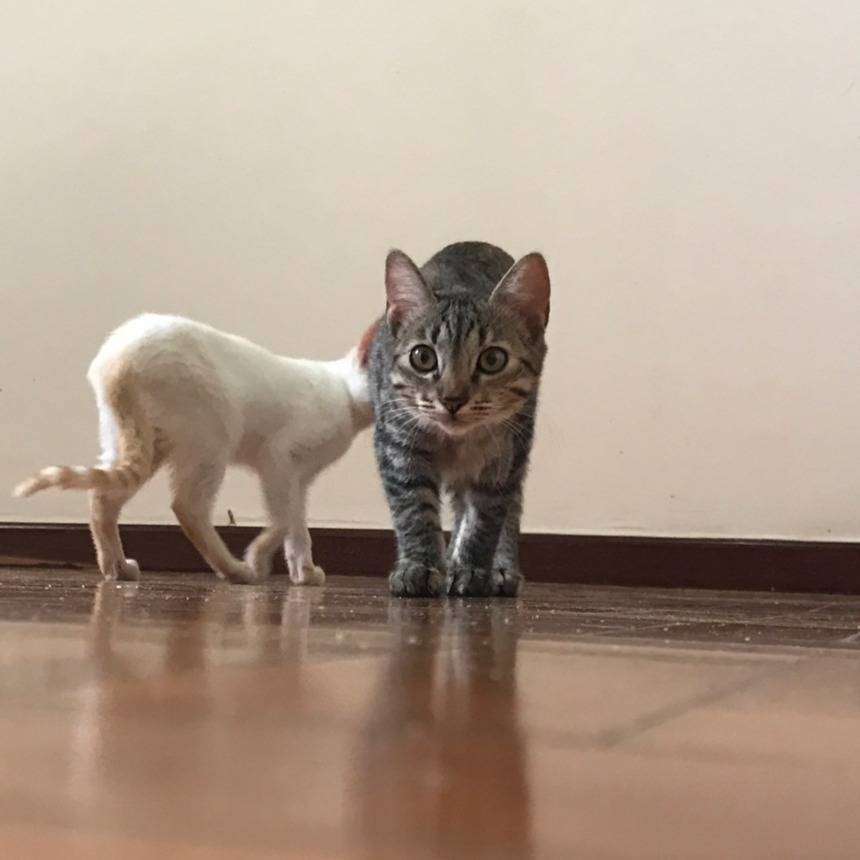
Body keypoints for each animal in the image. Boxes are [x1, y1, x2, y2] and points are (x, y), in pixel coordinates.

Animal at [14, 313, 375, 585]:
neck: (345, 398)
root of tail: (122, 357)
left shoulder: (300, 479)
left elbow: (298, 526)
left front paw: (304, 573)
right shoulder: (279, 458)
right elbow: (284, 518)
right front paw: (259, 558)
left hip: (143, 444)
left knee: (103, 499)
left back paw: (116, 567)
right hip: (214, 436)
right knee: (187, 506)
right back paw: (234, 570)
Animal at [368, 241, 550, 598]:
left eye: (493, 359)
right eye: (422, 357)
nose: (452, 399)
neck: (457, 441)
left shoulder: (503, 460)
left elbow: (484, 519)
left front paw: (471, 569)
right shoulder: (396, 443)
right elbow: (413, 508)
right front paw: (419, 566)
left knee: (509, 508)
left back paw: (500, 567)